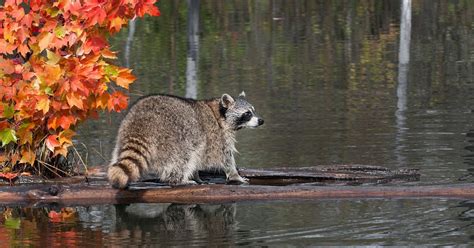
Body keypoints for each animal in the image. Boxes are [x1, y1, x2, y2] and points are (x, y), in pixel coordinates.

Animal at [106, 92, 262, 189]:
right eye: (247, 114)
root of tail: (142, 122)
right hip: (174, 137)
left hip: (123, 132)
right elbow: (225, 157)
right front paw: (235, 175)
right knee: (183, 158)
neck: (219, 113)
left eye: (253, 111)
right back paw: (179, 180)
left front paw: (197, 176)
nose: (261, 121)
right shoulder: (216, 136)